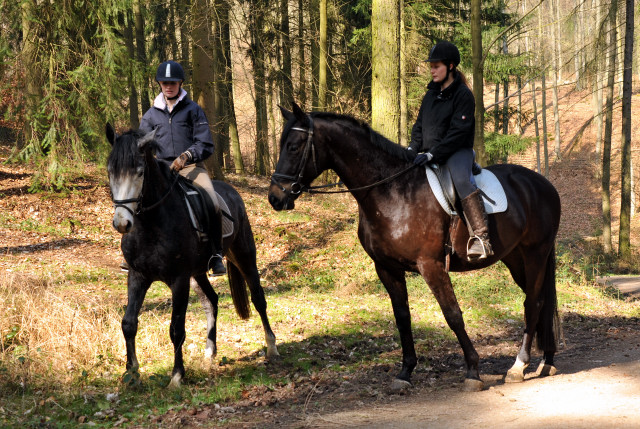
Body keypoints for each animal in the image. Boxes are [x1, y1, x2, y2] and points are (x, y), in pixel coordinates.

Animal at [106, 124, 278, 388]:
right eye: (110, 172)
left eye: (140, 172)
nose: (122, 223)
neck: (151, 224)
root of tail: (232, 191)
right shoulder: (137, 276)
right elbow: (128, 323)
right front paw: (131, 373)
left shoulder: (178, 280)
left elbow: (176, 328)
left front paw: (177, 376)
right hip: (197, 274)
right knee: (211, 301)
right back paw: (209, 353)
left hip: (244, 255)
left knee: (258, 298)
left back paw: (271, 347)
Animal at [268, 103, 560, 392]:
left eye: (293, 147)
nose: (275, 197)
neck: (392, 191)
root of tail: (543, 184)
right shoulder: (387, 268)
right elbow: (402, 318)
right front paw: (405, 371)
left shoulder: (431, 265)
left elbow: (453, 315)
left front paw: (473, 371)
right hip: (515, 259)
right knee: (541, 301)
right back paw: (547, 361)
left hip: (535, 254)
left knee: (533, 303)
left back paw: (519, 366)